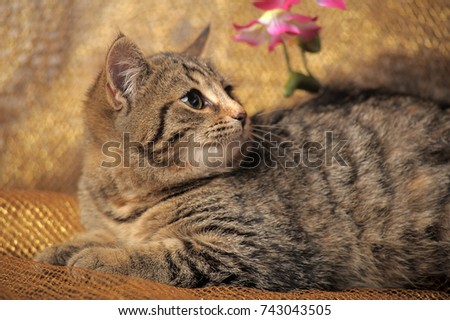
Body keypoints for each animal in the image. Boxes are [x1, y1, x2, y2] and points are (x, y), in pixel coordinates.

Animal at [36, 27, 450, 292]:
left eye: (229, 89)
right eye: (194, 99)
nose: (243, 113)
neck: (129, 200)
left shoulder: (254, 247)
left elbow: (158, 255)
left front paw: (97, 257)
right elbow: (100, 235)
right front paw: (60, 248)